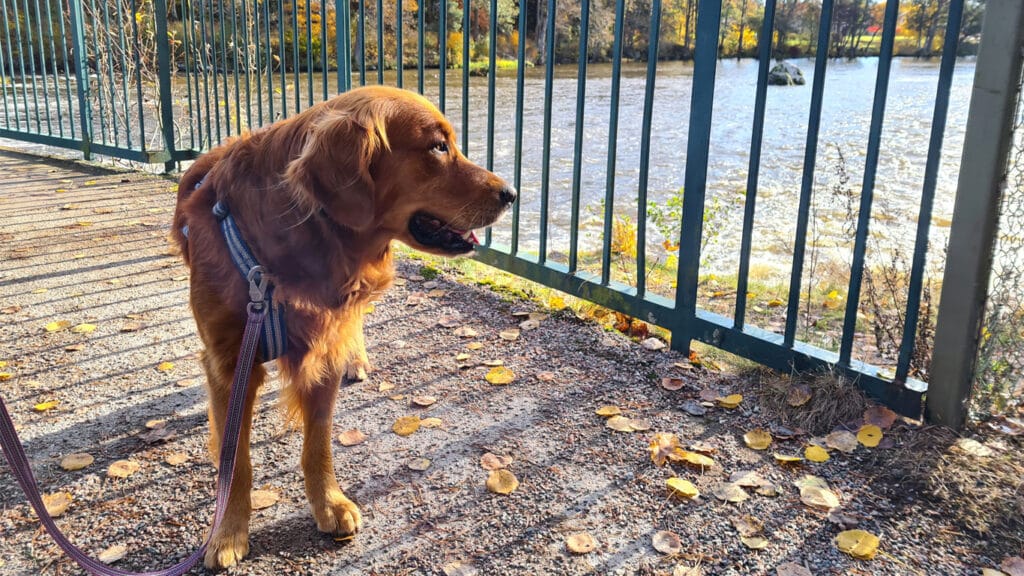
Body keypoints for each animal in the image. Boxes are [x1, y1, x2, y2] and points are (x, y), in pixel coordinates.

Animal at [173, 85, 520, 565]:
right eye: (437, 146)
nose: (512, 193)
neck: (282, 252)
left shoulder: (323, 352)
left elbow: (317, 445)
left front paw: (329, 503)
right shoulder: (228, 363)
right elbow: (235, 460)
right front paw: (226, 533)